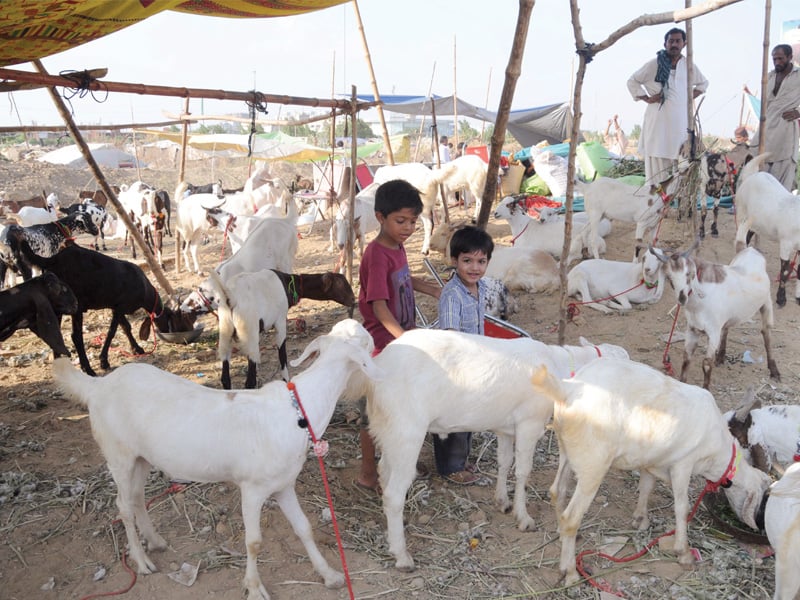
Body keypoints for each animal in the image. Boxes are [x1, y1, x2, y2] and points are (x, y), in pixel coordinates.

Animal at [20, 240, 197, 376]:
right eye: (179, 320)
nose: (184, 339)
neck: (144, 289)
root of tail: (52, 260)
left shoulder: (116, 307)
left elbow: (126, 327)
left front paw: (137, 348)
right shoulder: (120, 307)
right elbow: (112, 332)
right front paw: (104, 361)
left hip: (55, 306)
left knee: (55, 336)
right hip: (74, 305)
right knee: (76, 336)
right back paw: (88, 369)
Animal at [53, 318, 384, 600]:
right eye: (367, 341)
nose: (379, 349)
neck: (299, 409)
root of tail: (99, 386)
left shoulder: (283, 484)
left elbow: (304, 527)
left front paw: (330, 575)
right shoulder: (252, 488)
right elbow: (254, 541)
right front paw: (255, 588)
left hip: (141, 457)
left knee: (135, 498)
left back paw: (155, 542)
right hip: (117, 453)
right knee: (123, 505)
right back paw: (141, 561)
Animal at [206, 268, 356, 390]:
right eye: (340, 284)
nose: (353, 300)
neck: (288, 284)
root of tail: (231, 298)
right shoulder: (280, 321)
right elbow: (283, 356)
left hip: (225, 331)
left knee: (225, 378)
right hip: (249, 331)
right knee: (249, 382)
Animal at [648, 243, 780, 390]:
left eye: (688, 274)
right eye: (669, 277)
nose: (682, 298)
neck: (699, 304)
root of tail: (752, 249)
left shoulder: (713, 333)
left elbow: (706, 364)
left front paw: (706, 390)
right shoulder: (692, 329)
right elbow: (686, 359)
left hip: (766, 302)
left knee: (766, 333)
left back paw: (774, 371)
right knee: (726, 328)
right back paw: (721, 357)